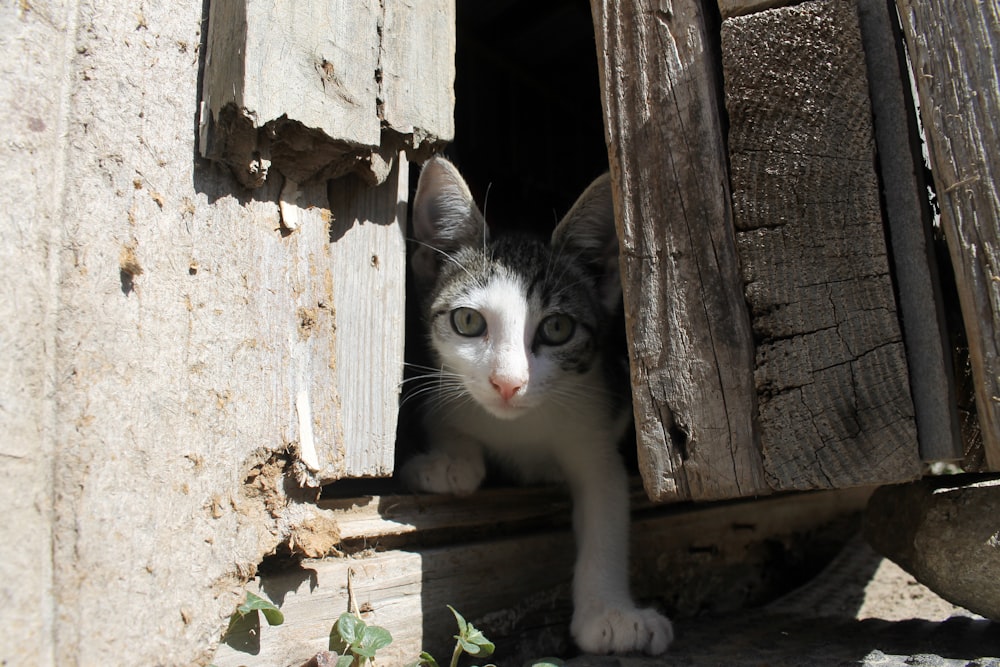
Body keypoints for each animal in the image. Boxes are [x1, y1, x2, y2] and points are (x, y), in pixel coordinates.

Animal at [398, 158, 672, 656]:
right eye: (468, 321)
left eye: (558, 328)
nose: (508, 383)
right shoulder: (441, 389)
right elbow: (448, 424)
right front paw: (447, 462)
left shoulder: (595, 425)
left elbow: (606, 509)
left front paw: (610, 614)